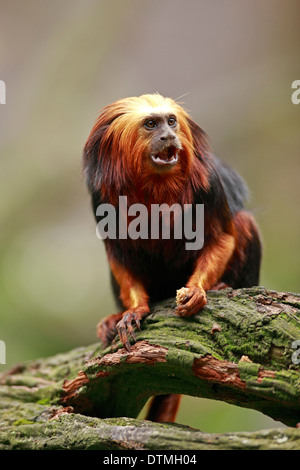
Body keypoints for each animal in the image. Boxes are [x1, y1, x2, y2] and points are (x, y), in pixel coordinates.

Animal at [81, 93, 260, 424]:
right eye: (151, 124)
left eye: (171, 121)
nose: (168, 136)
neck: (155, 186)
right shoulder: (101, 196)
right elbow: (119, 257)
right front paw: (134, 311)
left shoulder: (209, 184)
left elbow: (222, 237)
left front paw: (198, 292)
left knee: (243, 222)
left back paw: (224, 286)